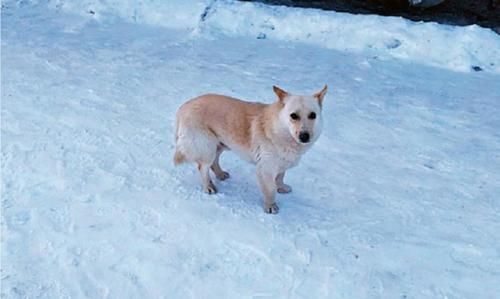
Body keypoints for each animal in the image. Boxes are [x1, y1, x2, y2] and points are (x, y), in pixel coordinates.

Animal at [174, 85, 326, 214]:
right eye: (293, 115)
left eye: (313, 115)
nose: (304, 136)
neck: (281, 131)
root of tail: (183, 106)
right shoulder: (265, 169)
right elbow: (270, 190)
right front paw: (270, 206)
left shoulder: (281, 164)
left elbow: (280, 177)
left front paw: (281, 188)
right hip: (208, 147)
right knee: (203, 167)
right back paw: (208, 187)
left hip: (221, 145)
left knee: (213, 163)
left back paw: (220, 174)